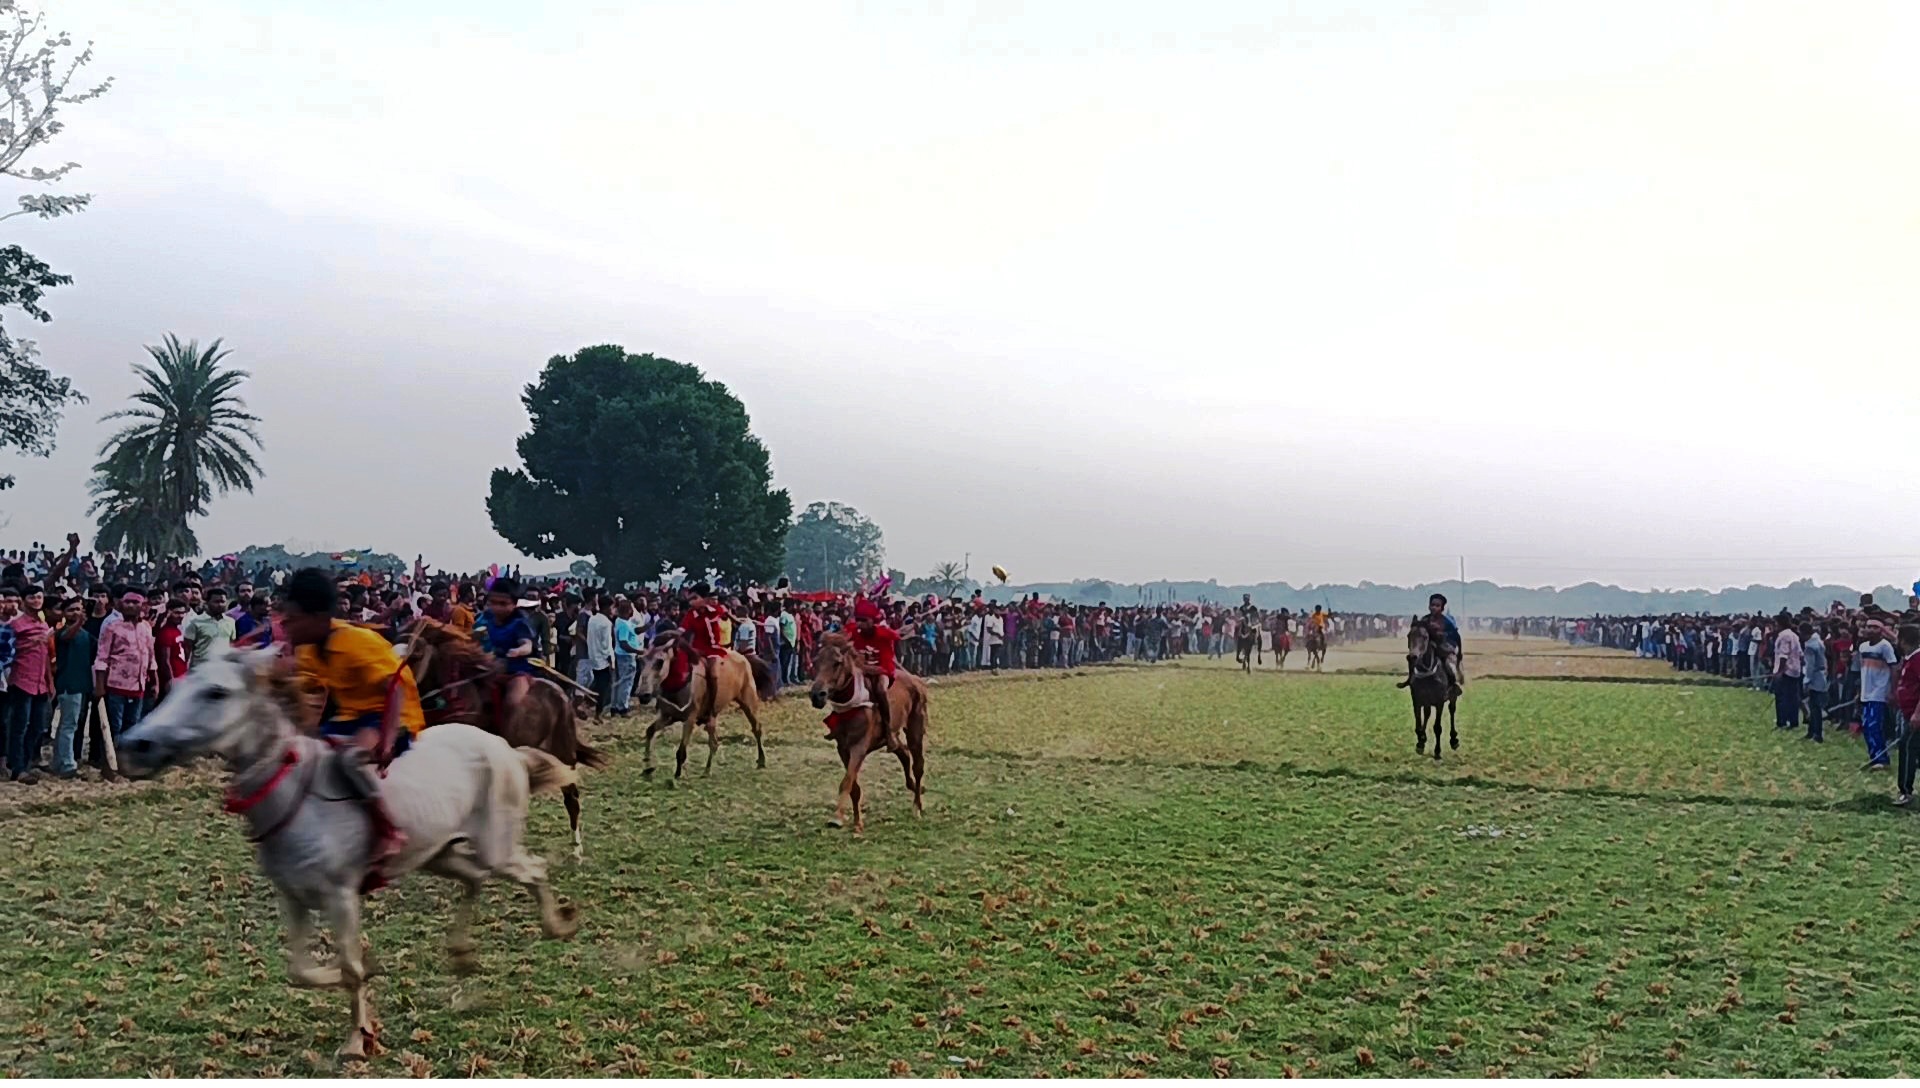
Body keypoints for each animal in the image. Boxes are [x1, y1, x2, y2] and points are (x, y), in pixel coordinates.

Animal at [113, 652, 572, 1059]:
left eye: (215, 692)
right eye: (174, 686)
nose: (135, 744)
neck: (298, 797)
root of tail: (508, 750)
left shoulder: (341, 896)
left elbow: (352, 969)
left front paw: (357, 1039)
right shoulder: (293, 898)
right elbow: (300, 972)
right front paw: (346, 983)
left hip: (497, 846)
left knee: (532, 870)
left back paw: (556, 926)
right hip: (436, 853)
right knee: (474, 877)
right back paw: (462, 953)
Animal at [633, 633, 775, 779]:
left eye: (660, 662)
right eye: (640, 660)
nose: (643, 694)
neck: (680, 682)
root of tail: (743, 657)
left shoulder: (689, 719)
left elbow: (681, 751)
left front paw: (677, 775)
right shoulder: (668, 716)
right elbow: (649, 731)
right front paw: (647, 766)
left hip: (748, 702)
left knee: (756, 729)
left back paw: (761, 760)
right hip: (712, 716)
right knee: (714, 742)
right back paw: (707, 770)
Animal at [810, 633, 929, 828]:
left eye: (837, 663)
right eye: (816, 661)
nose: (816, 695)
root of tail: (915, 679)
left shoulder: (859, 747)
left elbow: (847, 781)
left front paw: (837, 817)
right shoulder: (843, 748)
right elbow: (853, 785)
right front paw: (857, 821)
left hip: (915, 728)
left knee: (918, 765)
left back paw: (916, 806)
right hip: (891, 736)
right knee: (903, 752)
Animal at [1405, 617, 1459, 763]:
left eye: (1425, 637)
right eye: (1409, 635)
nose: (1412, 657)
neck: (1427, 673)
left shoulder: (1439, 701)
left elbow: (1437, 727)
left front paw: (1437, 751)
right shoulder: (1417, 700)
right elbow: (1418, 724)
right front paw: (1420, 742)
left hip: (1452, 698)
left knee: (1452, 711)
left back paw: (1454, 740)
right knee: (1427, 714)